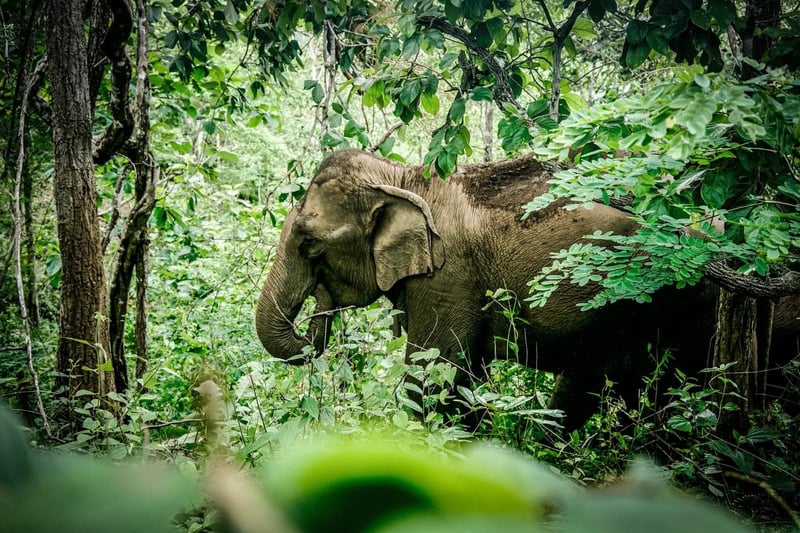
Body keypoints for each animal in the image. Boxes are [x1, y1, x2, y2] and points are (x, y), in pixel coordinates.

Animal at [258, 150, 800, 428]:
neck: (403, 175)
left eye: (308, 244)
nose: (317, 318)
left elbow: (436, 376)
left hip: (666, 298)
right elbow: (465, 377)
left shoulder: (450, 276)